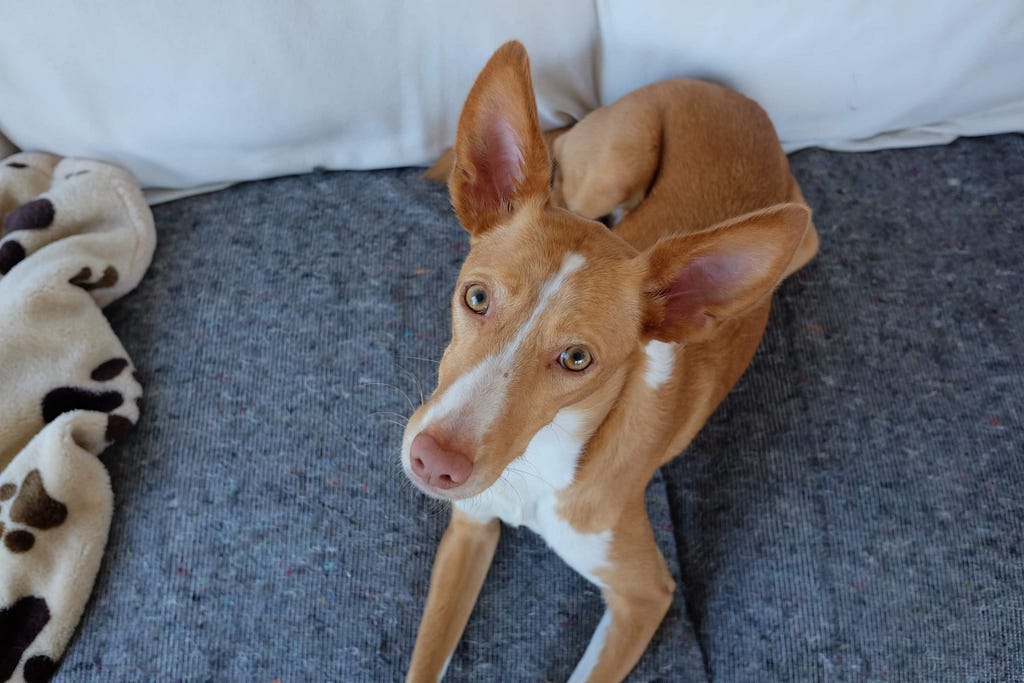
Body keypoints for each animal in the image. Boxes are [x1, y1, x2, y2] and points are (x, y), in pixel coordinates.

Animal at [397, 40, 815, 679]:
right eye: (476, 297)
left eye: (576, 358)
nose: (433, 463)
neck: (540, 465)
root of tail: (737, 97)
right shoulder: (469, 526)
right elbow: (425, 663)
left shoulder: (644, 597)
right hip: (614, 162)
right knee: (567, 169)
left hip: (804, 238)